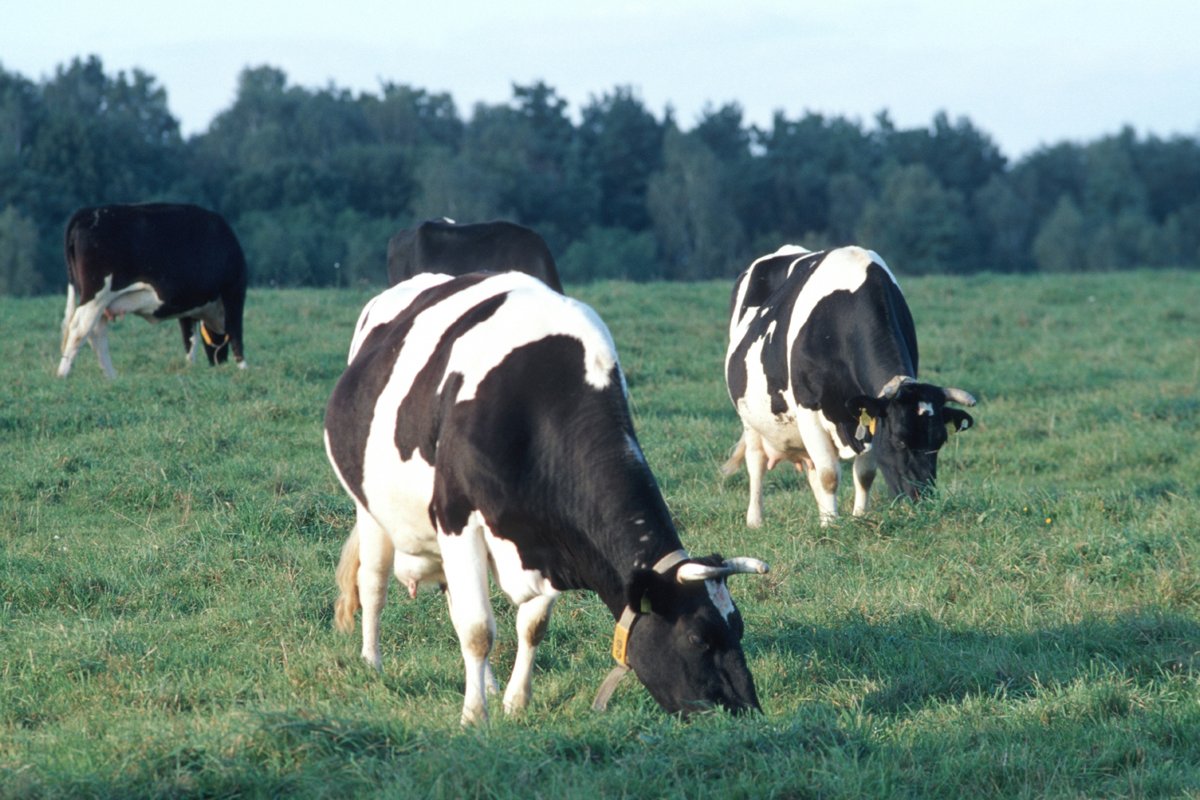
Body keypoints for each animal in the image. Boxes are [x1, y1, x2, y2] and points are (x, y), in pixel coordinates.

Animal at [57, 203, 248, 378]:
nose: (220, 363)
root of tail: (88, 212)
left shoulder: (187, 305)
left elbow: (189, 340)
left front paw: (190, 369)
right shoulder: (233, 291)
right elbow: (235, 331)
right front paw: (244, 368)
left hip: (102, 303)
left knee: (97, 334)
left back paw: (111, 378)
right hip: (96, 295)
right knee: (79, 330)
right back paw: (62, 375)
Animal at [324, 271, 769, 724]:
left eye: (738, 627)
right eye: (698, 638)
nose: (748, 712)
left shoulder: (551, 537)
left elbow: (531, 625)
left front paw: (514, 702)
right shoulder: (456, 517)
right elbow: (478, 630)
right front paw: (474, 717)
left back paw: (486, 682)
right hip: (371, 511)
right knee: (374, 582)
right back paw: (372, 664)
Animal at [723, 245, 976, 527]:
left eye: (940, 441)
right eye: (899, 441)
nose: (923, 500)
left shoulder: (867, 418)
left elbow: (864, 474)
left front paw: (857, 517)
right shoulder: (809, 409)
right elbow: (829, 475)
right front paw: (831, 526)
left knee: (811, 468)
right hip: (750, 418)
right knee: (756, 461)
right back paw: (756, 520)